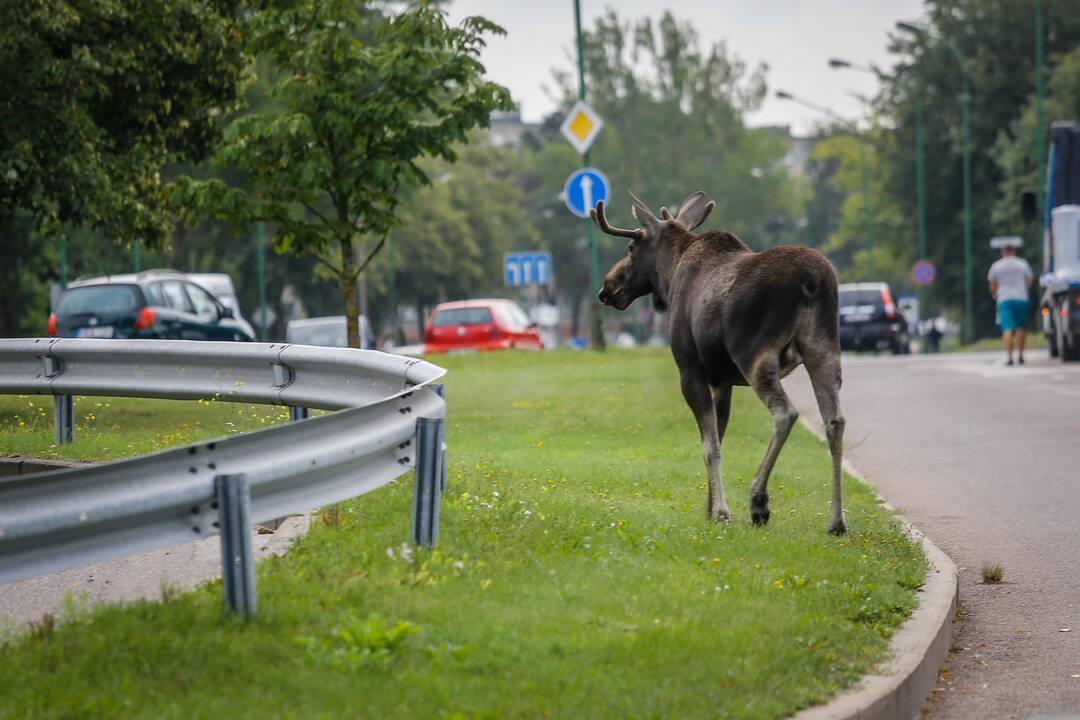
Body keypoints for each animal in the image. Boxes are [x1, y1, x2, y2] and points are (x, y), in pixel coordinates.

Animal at [596, 191, 846, 535]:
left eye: (631, 248)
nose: (606, 288)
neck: (670, 276)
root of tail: (811, 281)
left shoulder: (690, 370)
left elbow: (709, 444)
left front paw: (721, 511)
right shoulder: (723, 380)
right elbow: (719, 435)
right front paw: (709, 506)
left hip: (754, 353)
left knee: (785, 413)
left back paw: (758, 501)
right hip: (824, 349)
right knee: (834, 420)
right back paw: (836, 521)